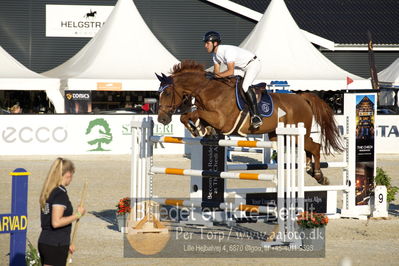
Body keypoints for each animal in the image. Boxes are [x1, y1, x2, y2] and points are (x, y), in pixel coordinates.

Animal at [156, 60, 344, 185]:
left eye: (167, 93)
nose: (161, 119)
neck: (208, 90)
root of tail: (302, 98)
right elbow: (188, 116)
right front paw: (199, 129)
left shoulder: (222, 120)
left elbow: (194, 113)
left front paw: (196, 128)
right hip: (279, 136)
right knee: (308, 149)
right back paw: (310, 169)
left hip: (296, 135)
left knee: (315, 147)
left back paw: (319, 175)